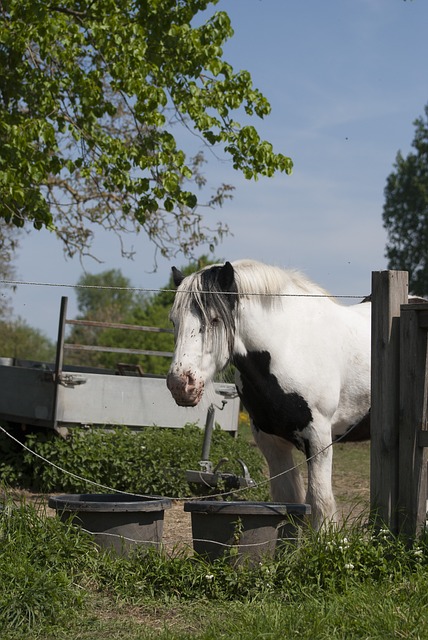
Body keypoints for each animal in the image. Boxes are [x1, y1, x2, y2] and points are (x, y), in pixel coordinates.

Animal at [167, 258, 372, 528]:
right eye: (174, 321)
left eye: (214, 320)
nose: (180, 384)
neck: (290, 345)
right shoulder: (270, 440)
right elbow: (288, 502)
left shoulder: (319, 437)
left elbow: (320, 502)